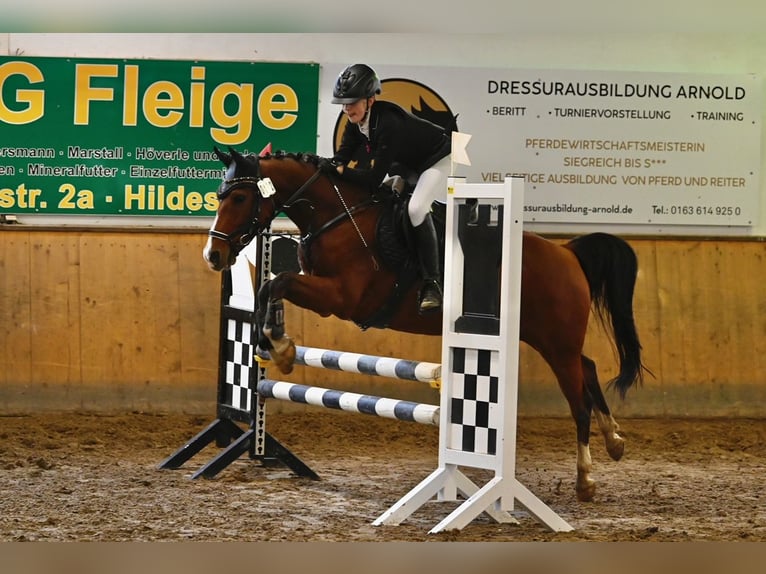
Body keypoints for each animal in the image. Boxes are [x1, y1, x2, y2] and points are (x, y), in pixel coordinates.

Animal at [204, 147, 656, 504]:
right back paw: (615, 441)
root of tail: (567, 253)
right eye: (221, 196)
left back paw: (586, 479)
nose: (213, 255)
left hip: (555, 342)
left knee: (578, 400)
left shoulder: (342, 298)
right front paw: (276, 345)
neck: (337, 217)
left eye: (240, 196)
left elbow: (276, 283)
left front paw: (280, 349)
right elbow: (270, 289)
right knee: (589, 368)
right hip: (548, 337)